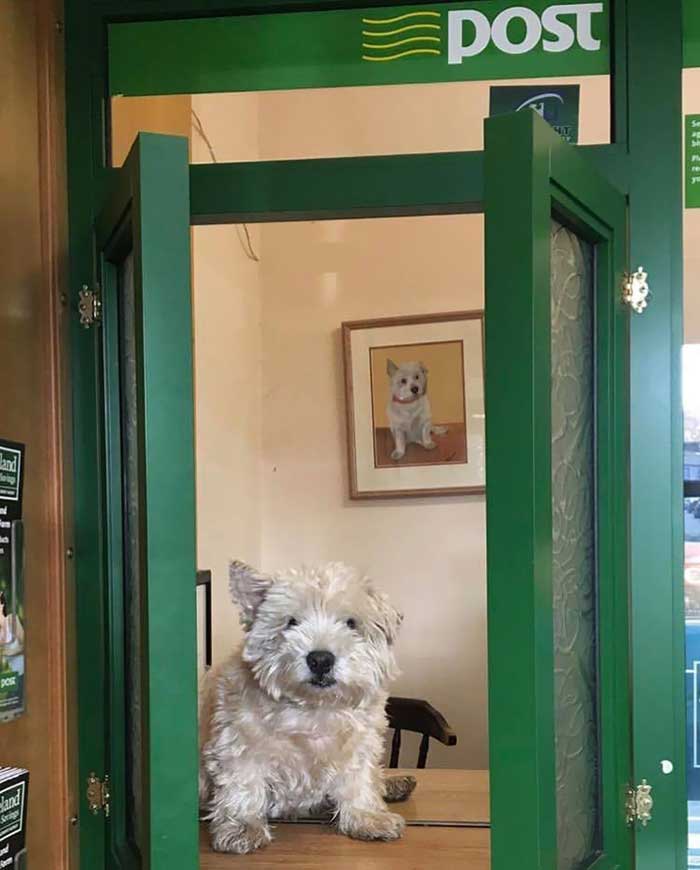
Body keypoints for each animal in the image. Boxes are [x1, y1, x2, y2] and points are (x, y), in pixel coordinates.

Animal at [198, 564, 410, 856]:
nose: (320, 659)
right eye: (291, 622)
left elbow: (360, 779)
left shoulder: (360, 743)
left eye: (351, 623)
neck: (313, 709)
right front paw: (242, 828)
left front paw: (367, 817)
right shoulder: (237, 743)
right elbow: (243, 782)